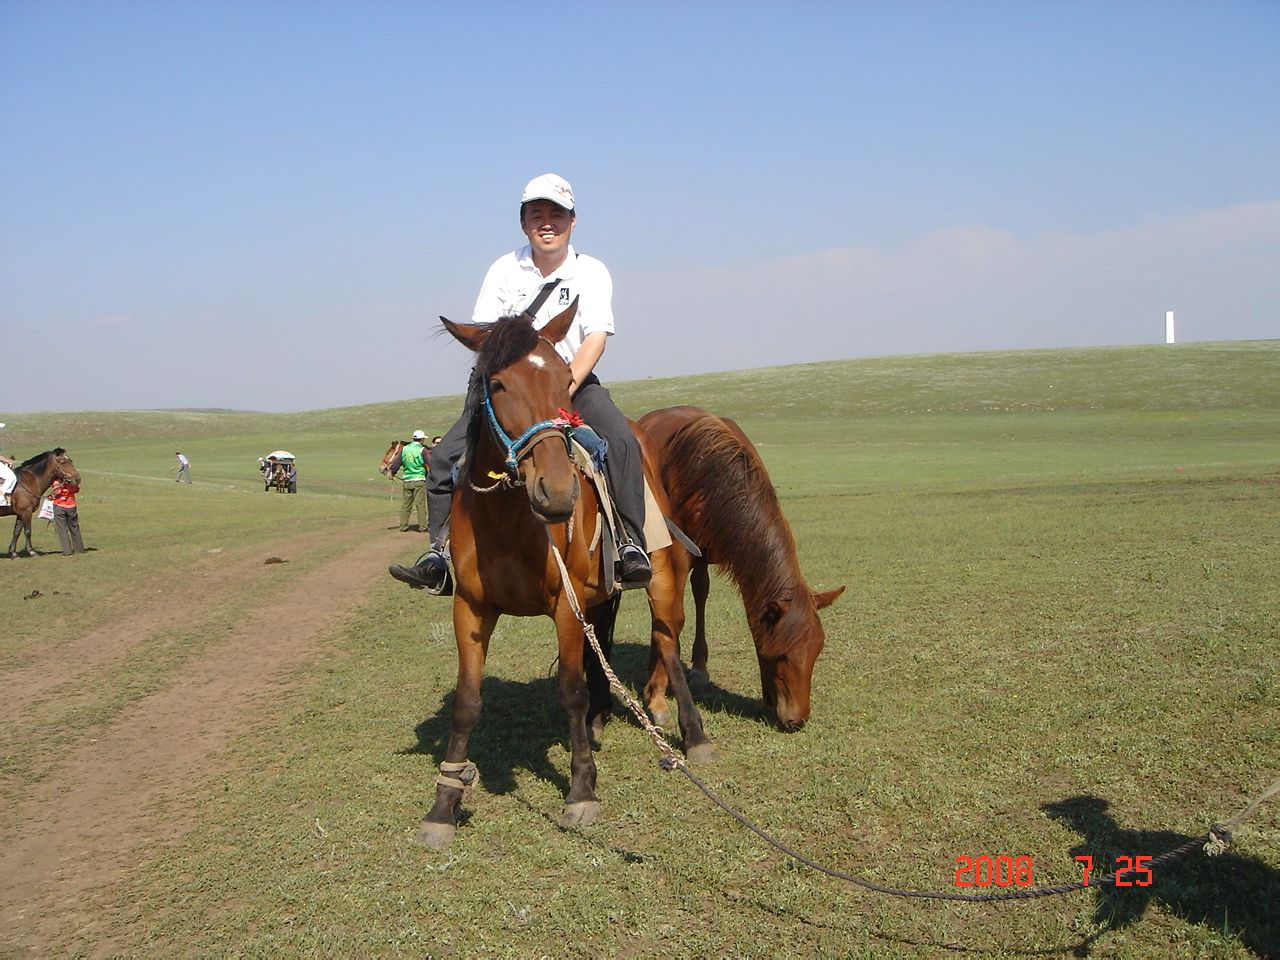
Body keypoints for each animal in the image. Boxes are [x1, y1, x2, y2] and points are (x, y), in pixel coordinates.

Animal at [422, 305, 716, 849]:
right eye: (496, 383)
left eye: (564, 380)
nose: (557, 493)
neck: (508, 521)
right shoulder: (470, 608)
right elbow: (468, 701)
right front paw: (444, 804)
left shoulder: (564, 605)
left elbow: (570, 691)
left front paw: (581, 791)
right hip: (598, 601)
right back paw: (603, 721)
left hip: (662, 579)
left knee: (668, 642)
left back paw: (694, 735)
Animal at [637, 409, 839, 732]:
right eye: (782, 655)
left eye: (816, 651)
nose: (797, 720)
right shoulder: (675, 558)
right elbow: (672, 620)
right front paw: (656, 694)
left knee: (700, 591)